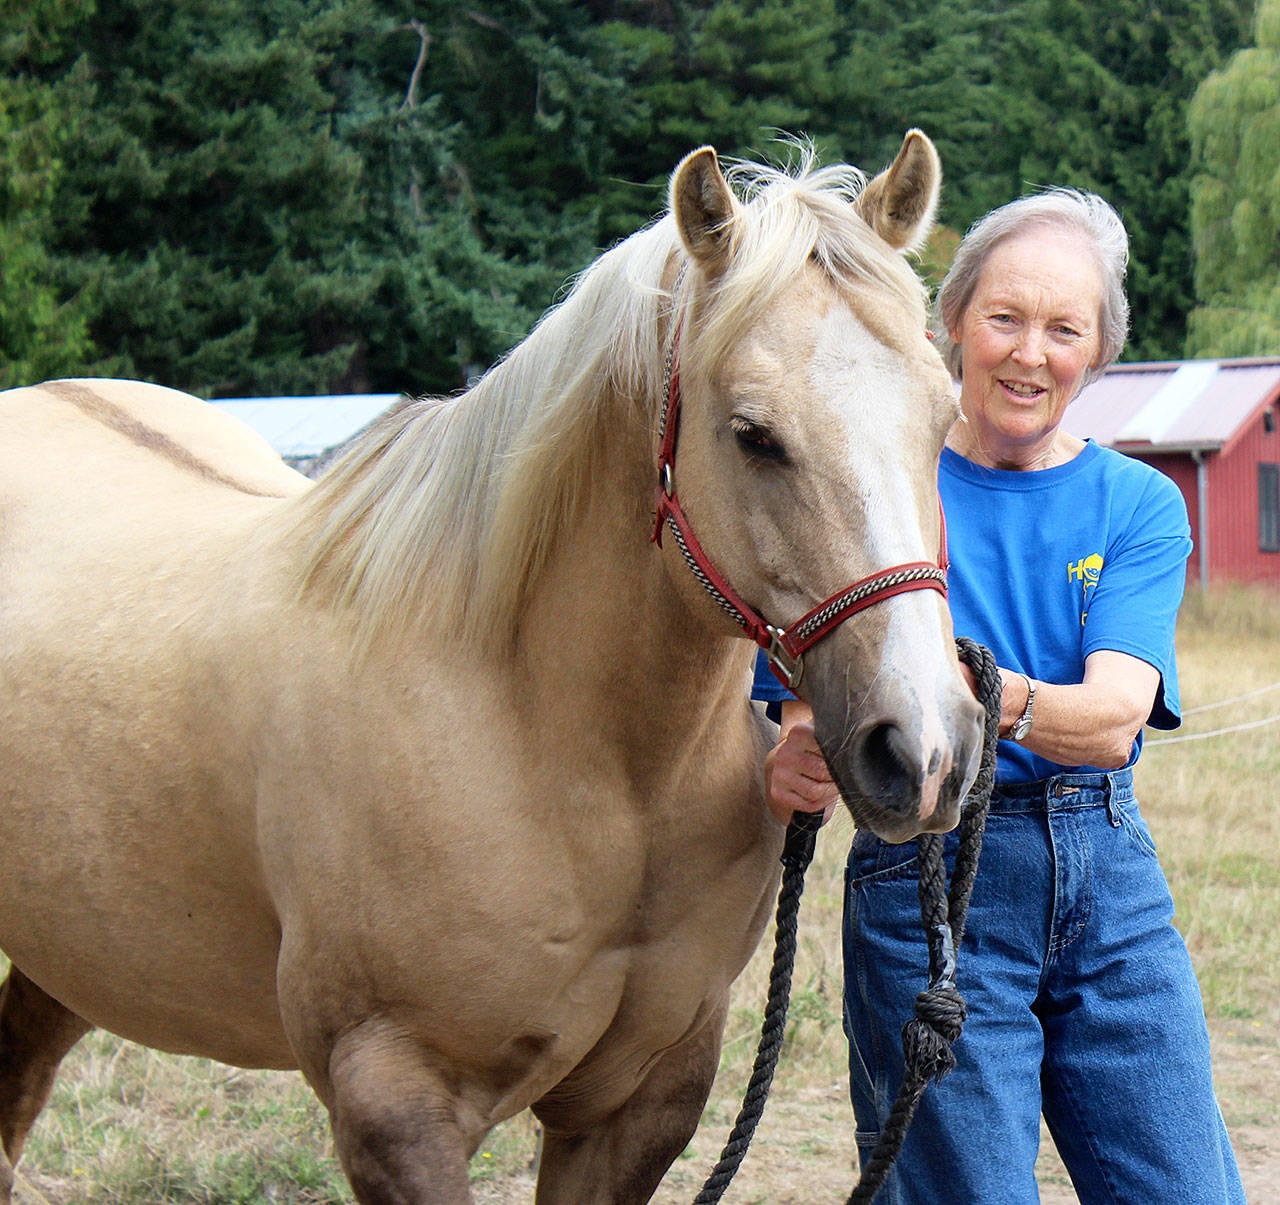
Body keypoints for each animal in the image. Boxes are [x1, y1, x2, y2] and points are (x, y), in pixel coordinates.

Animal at [0, 133, 977, 1203]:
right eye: (753, 434)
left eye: (943, 416)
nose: (924, 749)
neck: (547, 737)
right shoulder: (396, 1103)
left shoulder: (639, 1102)